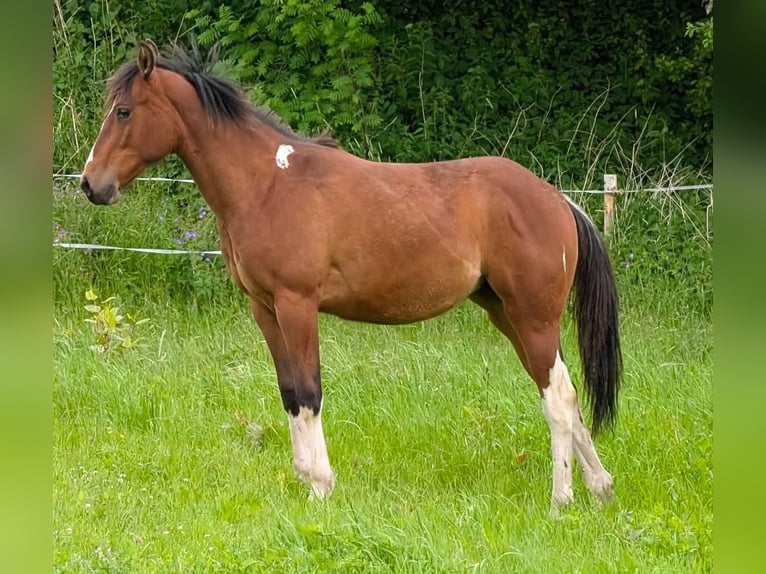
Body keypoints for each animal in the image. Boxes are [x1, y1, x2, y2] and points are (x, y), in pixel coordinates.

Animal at [79, 40, 622, 513]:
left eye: (123, 112)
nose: (90, 184)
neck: (266, 185)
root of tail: (558, 200)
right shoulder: (265, 309)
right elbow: (288, 391)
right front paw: (303, 477)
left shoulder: (297, 304)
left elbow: (308, 390)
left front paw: (320, 485)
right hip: (508, 315)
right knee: (567, 393)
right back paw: (600, 487)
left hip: (532, 318)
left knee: (558, 398)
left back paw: (561, 500)